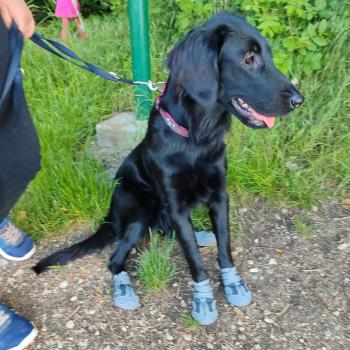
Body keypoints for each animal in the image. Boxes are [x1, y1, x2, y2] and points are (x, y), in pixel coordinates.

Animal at [34, 13, 304, 326]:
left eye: (268, 55)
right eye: (248, 59)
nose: (299, 100)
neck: (196, 139)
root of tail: (110, 214)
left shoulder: (219, 196)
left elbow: (224, 246)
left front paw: (232, 283)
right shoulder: (175, 204)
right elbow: (194, 259)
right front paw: (203, 299)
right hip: (140, 210)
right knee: (116, 260)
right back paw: (124, 289)